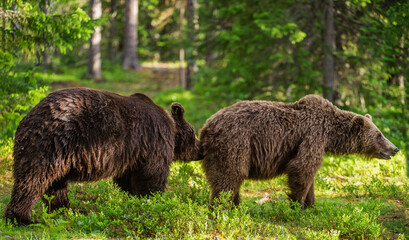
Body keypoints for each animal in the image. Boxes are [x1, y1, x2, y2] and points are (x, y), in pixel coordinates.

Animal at [201, 94, 398, 207]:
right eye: (379, 135)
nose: (395, 149)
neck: (331, 134)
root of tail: (206, 126)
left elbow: (309, 177)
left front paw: (311, 205)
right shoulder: (313, 136)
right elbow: (302, 168)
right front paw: (297, 205)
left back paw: (235, 205)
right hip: (236, 143)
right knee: (230, 176)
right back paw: (223, 207)